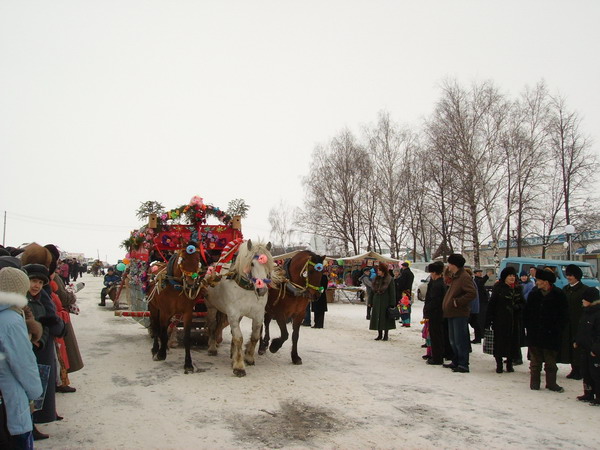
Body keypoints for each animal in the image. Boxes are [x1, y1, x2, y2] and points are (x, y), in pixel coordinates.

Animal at [148, 241, 209, 374]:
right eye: (184, 258)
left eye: (198, 259)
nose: (191, 283)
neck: (175, 286)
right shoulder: (164, 312)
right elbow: (162, 332)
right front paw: (161, 354)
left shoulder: (187, 313)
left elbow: (186, 338)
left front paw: (188, 364)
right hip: (153, 307)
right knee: (156, 327)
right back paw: (155, 349)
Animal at [204, 239, 274, 376]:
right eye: (251, 263)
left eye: (268, 264)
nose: (262, 290)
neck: (246, 289)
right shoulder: (233, 315)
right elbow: (238, 338)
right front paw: (239, 366)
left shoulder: (258, 315)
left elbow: (254, 336)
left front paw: (248, 358)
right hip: (211, 308)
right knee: (213, 326)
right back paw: (212, 348)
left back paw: (233, 354)